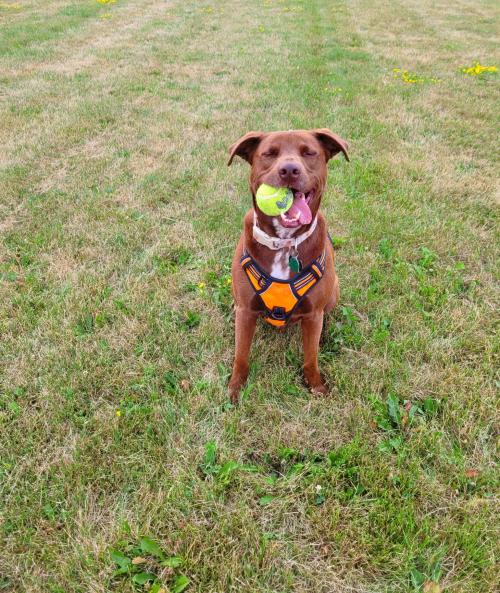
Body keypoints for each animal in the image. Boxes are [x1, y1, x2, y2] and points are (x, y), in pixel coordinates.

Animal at [227, 129, 348, 402]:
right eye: (269, 153)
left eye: (309, 152)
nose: (290, 170)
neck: (284, 243)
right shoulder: (245, 310)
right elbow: (241, 355)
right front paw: (235, 388)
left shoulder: (313, 314)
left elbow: (310, 357)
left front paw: (316, 385)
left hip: (334, 292)